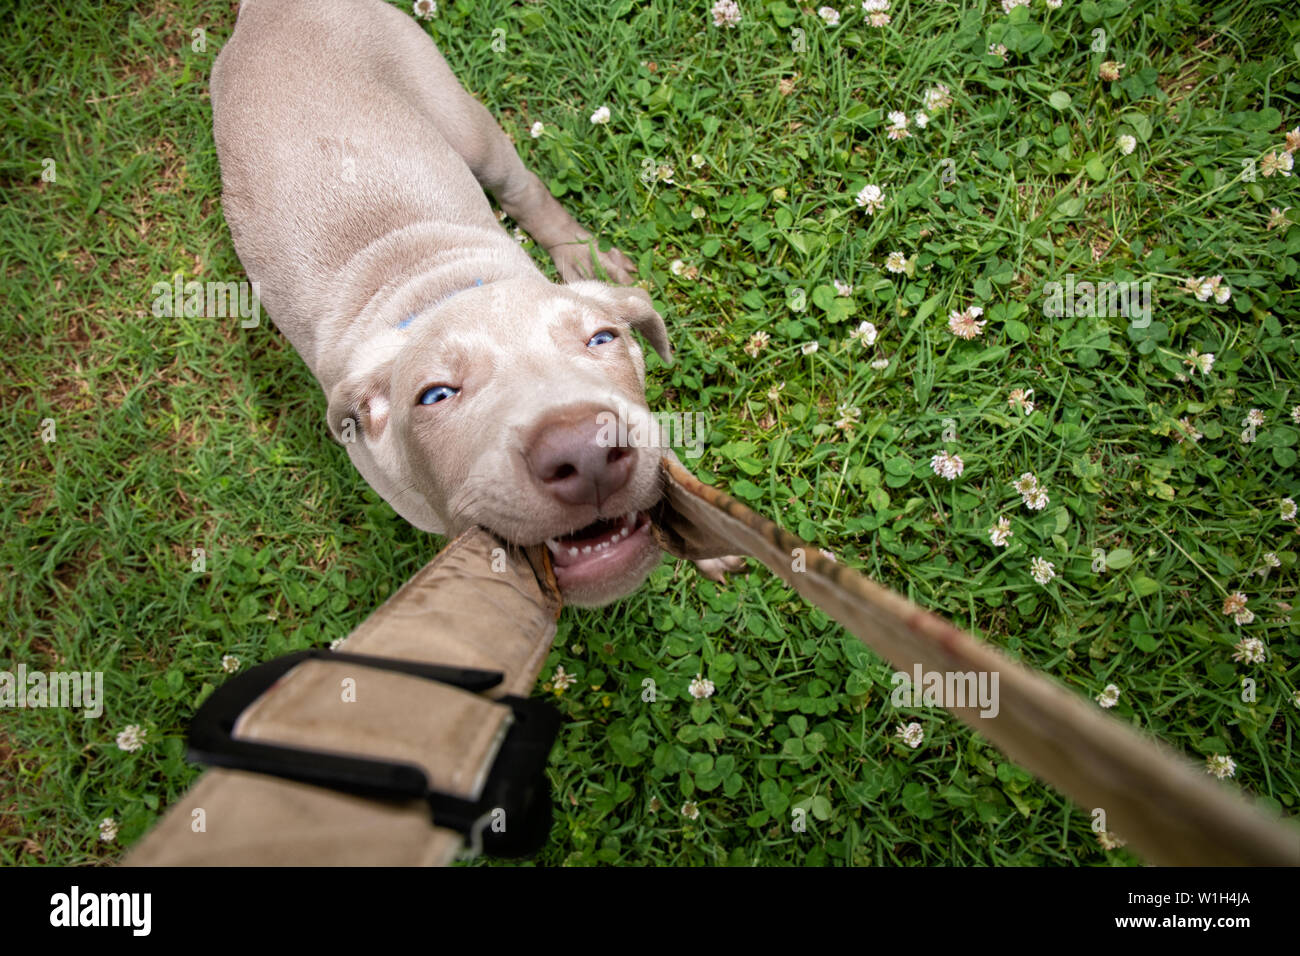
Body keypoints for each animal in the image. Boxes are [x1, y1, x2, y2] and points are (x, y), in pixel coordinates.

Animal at [211, 0, 743, 606]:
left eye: (602, 338)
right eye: (436, 395)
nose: (586, 454)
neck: (429, 283)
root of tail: (266, 11)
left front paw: (712, 539)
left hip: (461, 118)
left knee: (522, 186)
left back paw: (580, 254)